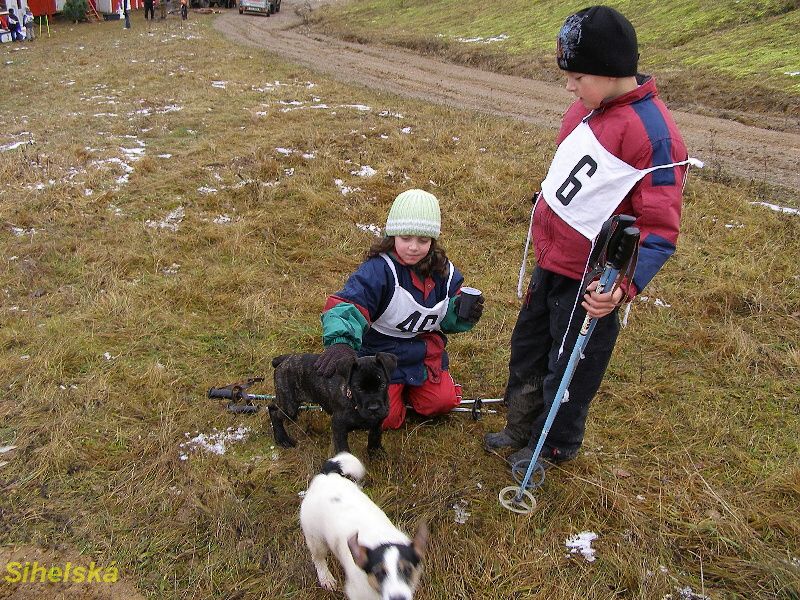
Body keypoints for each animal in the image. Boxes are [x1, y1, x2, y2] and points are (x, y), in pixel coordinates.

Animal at [300, 452, 427, 600]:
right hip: (316, 539)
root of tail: (326, 476)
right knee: (318, 558)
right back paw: (326, 578)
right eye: (379, 573)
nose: (398, 598)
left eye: (407, 570)